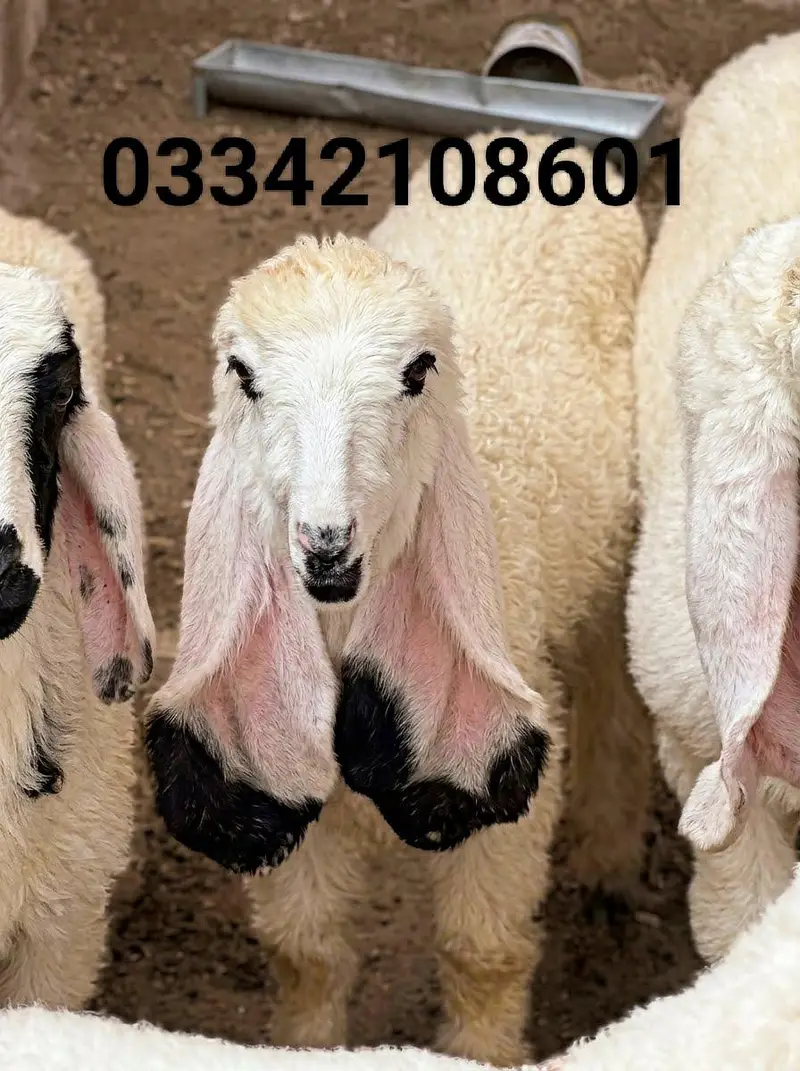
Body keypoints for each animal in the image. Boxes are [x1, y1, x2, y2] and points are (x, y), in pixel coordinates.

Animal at [144, 131, 649, 1067]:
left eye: (417, 372)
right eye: (243, 375)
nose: (325, 541)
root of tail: (532, 135)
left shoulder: (499, 768)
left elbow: (482, 953)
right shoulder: (276, 764)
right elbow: (304, 955)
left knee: (614, 695)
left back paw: (606, 857)